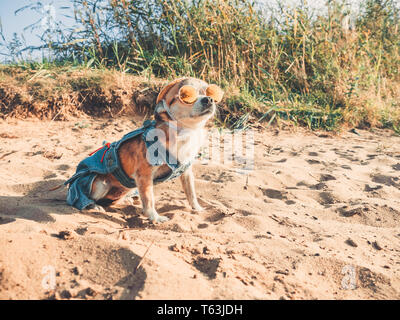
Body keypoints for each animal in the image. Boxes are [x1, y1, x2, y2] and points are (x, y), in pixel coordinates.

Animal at [67, 77, 223, 222]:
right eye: (186, 95)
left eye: (210, 93)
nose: (209, 99)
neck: (183, 133)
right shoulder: (144, 175)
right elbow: (149, 199)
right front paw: (154, 217)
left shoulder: (186, 170)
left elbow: (191, 192)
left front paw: (197, 208)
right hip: (100, 184)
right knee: (84, 199)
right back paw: (93, 206)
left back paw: (127, 199)